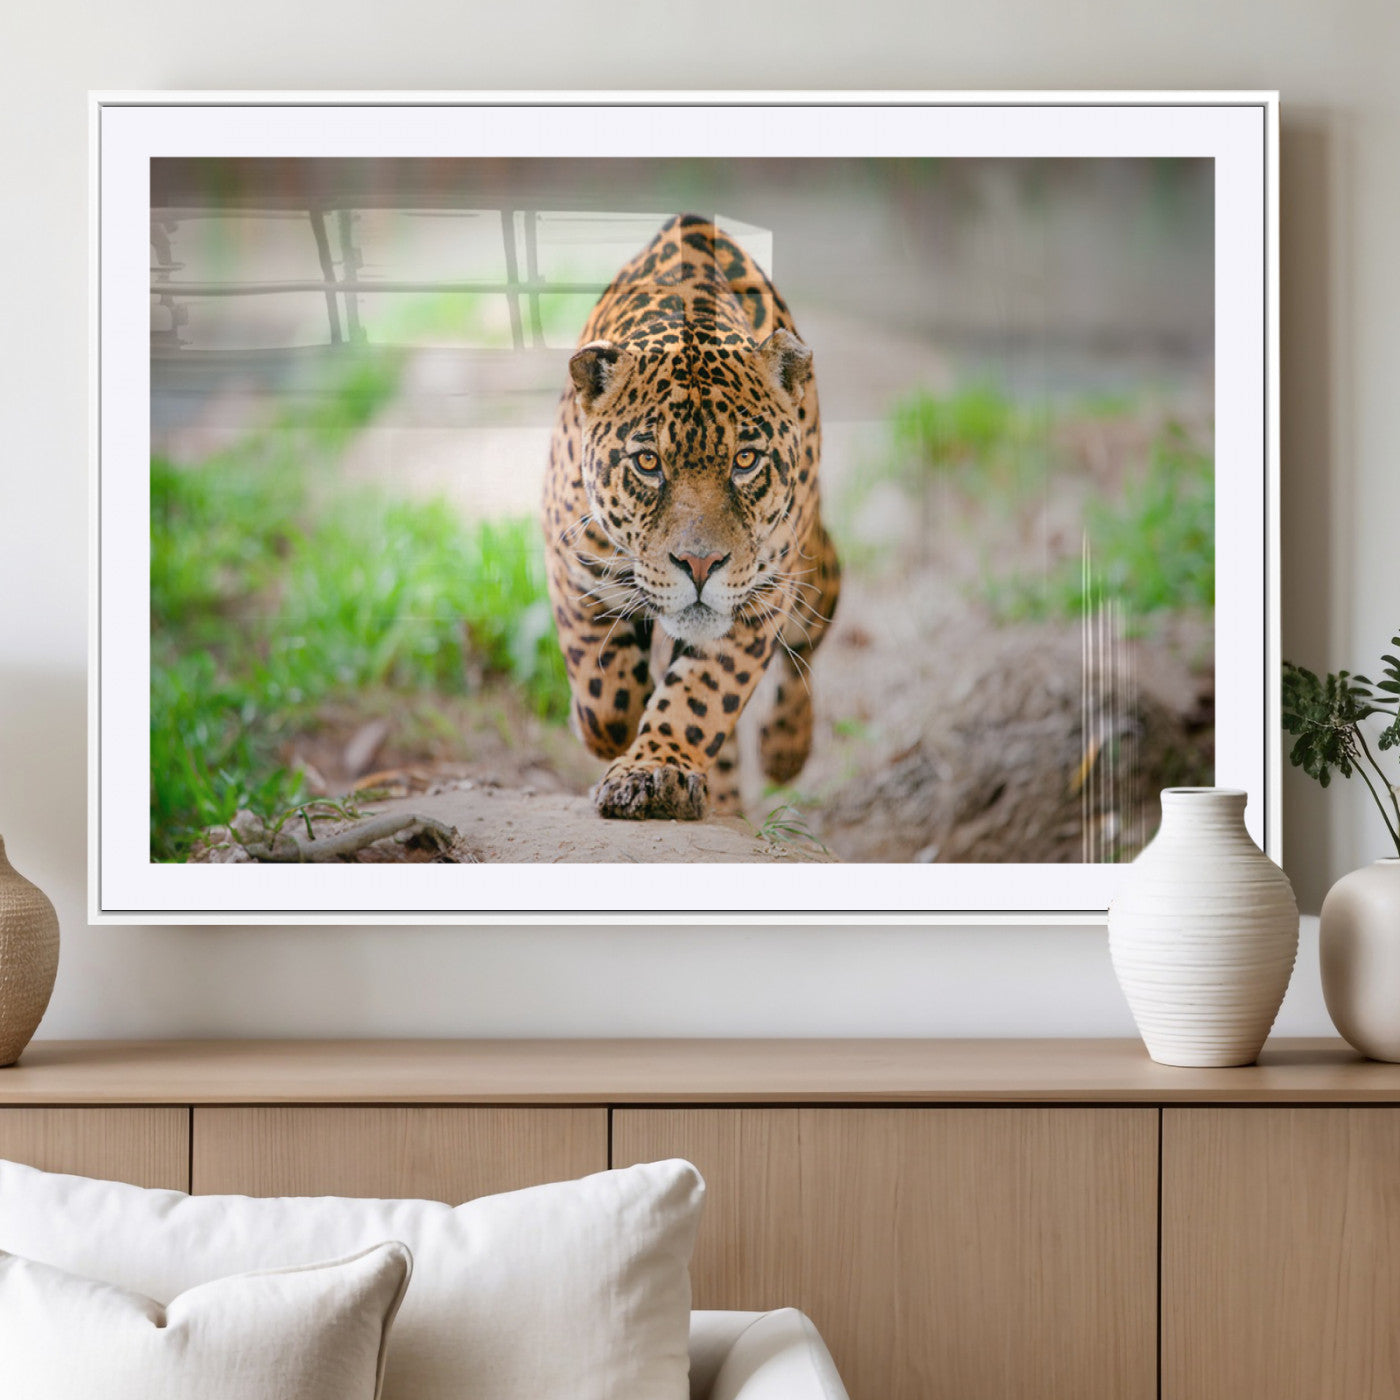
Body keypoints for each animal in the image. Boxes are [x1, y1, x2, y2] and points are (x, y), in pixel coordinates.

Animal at [541, 214, 841, 821]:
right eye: (648, 463)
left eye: (745, 460)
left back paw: (784, 750)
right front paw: (609, 732)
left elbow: (700, 697)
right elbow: (603, 692)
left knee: (812, 628)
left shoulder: (759, 597)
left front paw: (654, 770)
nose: (700, 565)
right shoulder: (572, 562)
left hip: (810, 571)